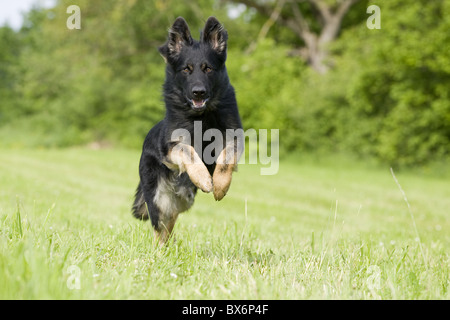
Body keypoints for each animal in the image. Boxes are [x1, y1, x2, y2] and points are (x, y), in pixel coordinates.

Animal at [131, 16, 243, 244]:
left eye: (208, 68)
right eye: (186, 69)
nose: (198, 92)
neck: (201, 116)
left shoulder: (234, 137)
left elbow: (226, 161)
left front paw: (220, 186)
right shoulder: (172, 146)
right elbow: (188, 151)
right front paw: (203, 178)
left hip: (182, 200)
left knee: (169, 224)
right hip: (159, 198)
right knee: (159, 227)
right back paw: (159, 250)